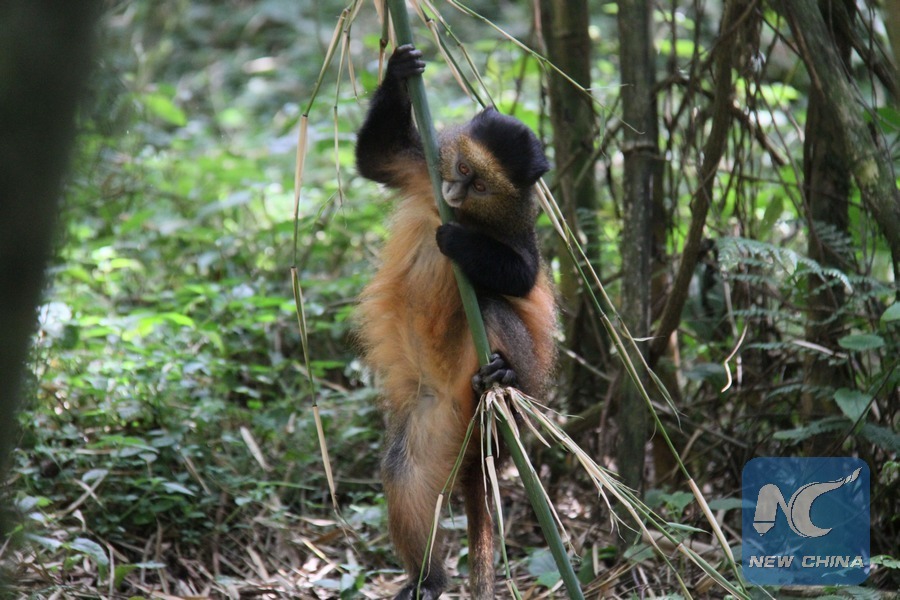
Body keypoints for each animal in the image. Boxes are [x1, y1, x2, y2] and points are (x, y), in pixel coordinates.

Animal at [355, 44, 557, 600]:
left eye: (480, 181)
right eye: (462, 165)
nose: (457, 189)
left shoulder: (517, 228)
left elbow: (522, 278)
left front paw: (459, 242)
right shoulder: (423, 165)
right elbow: (375, 157)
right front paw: (400, 69)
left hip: (499, 390)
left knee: (489, 304)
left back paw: (506, 376)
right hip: (436, 412)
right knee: (405, 470)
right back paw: (428, 579)